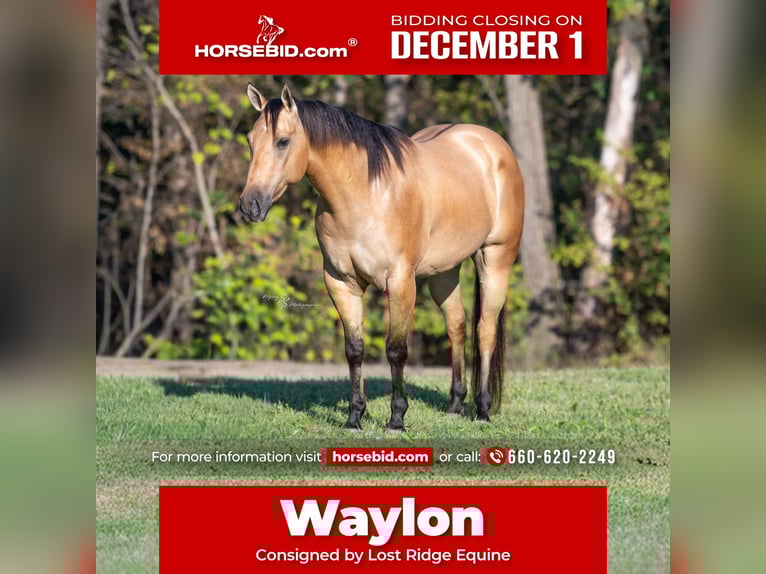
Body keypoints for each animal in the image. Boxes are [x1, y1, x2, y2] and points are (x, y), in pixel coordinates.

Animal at [240, 84, 524, 431]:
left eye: (282, 141)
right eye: (250, 140)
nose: (250, 205)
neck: (365, 195)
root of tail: (492, 144)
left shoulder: (400, 282)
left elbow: (396, 350)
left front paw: (397, 418)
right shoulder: (340, 282)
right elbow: (354, 350)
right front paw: (354, 417)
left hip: (495, 259)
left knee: (485, 330)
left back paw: (482, 410)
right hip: (444, 271)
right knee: (457, 324)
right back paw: (455, 404)